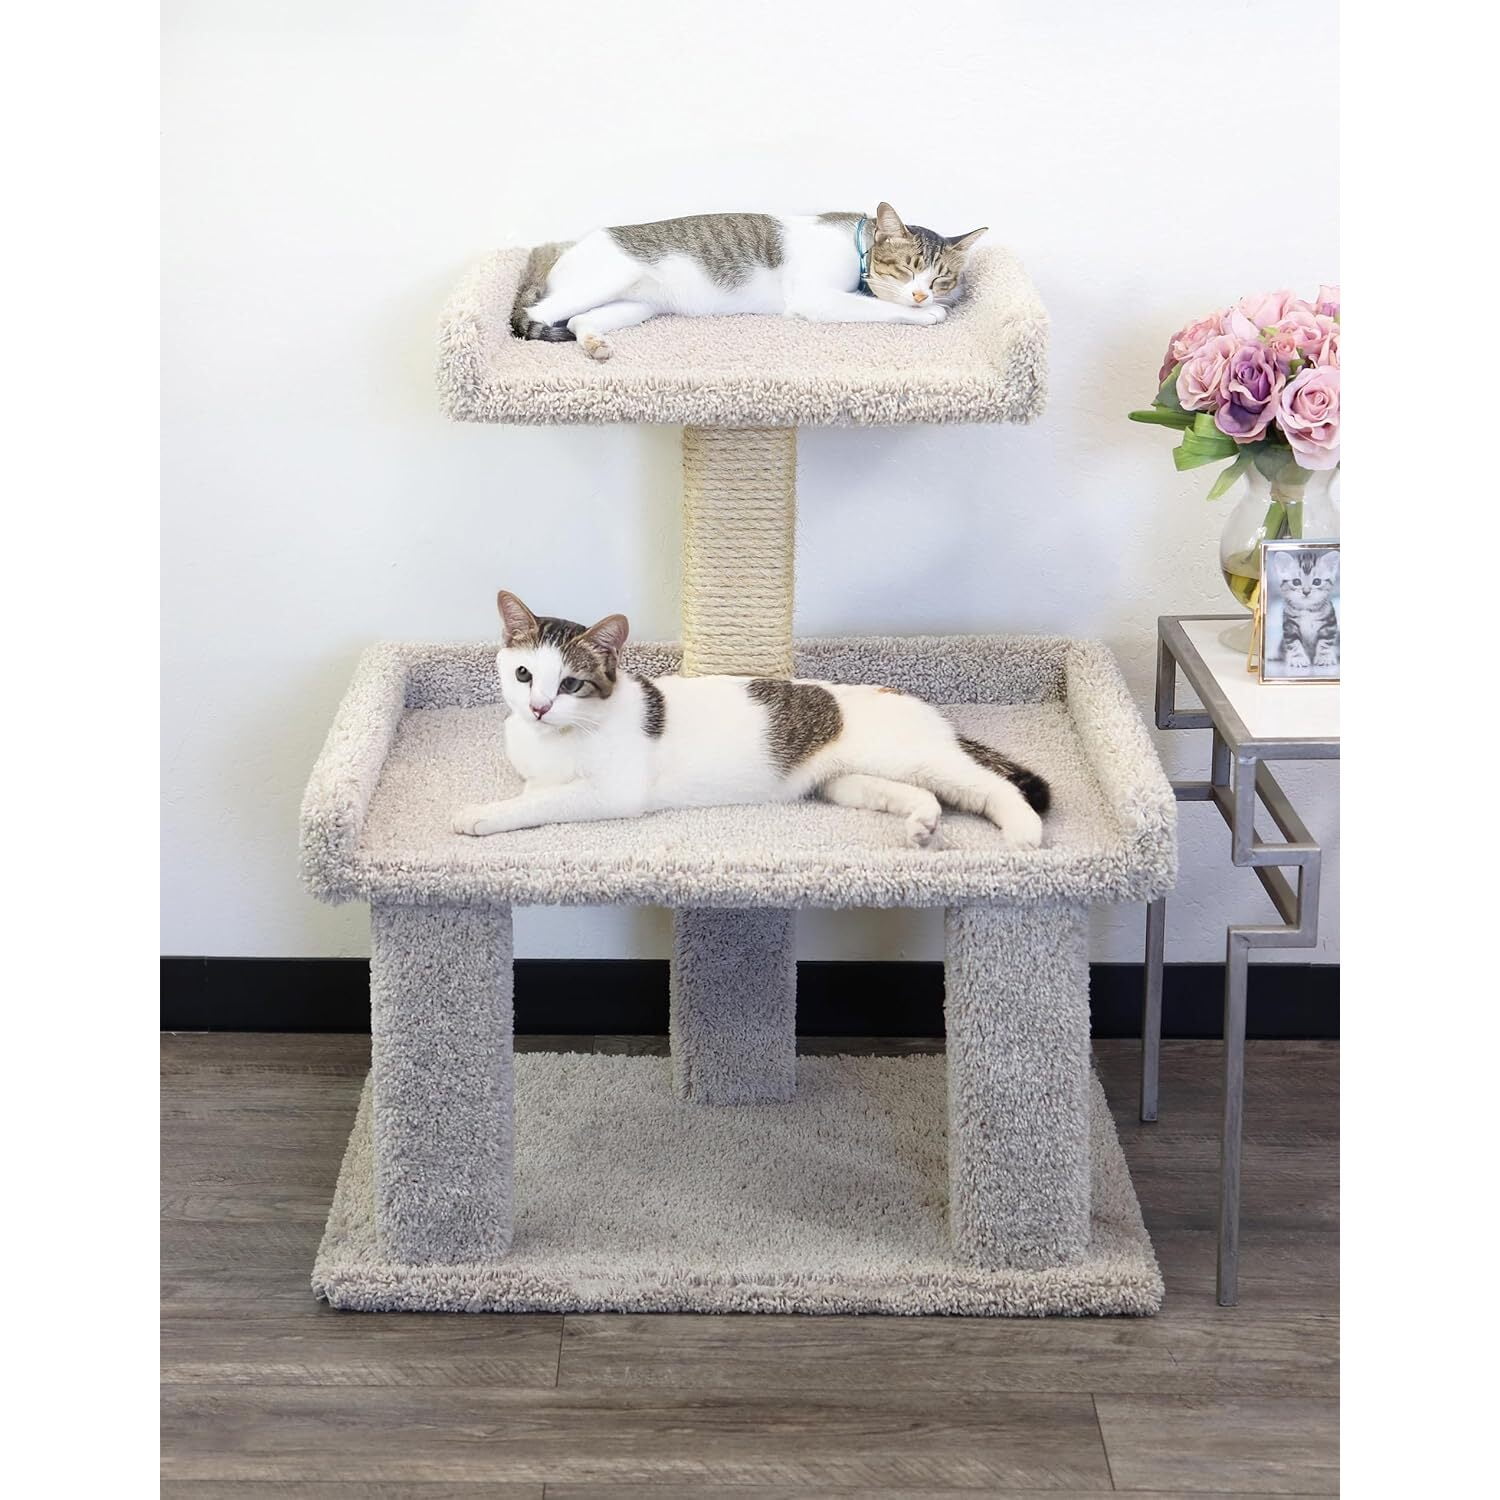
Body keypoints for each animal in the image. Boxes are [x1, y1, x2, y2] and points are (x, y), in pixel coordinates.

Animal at [452, 592, 1050, 849]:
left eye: (571, 685)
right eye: (525, 675)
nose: (538, 707)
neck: (553, 740)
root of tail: (904, 694)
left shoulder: (612, 792)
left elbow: (539, 804)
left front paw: (481, 814)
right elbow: (535, 793)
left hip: (917, 756)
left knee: (992, 786)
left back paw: (1025, 832)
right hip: (849, 783)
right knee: (924, 796)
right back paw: (923, 825)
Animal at [509, 202, 987, 360]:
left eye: (942, 278)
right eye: (907, 268)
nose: (923, 293)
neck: (858, 243)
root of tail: (562, 253)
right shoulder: (815, 297)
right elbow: (877, 305)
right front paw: (925, 314)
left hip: (637, 306)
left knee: (579, 322)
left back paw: (594, 344)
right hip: (607, 278)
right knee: (537, 313)